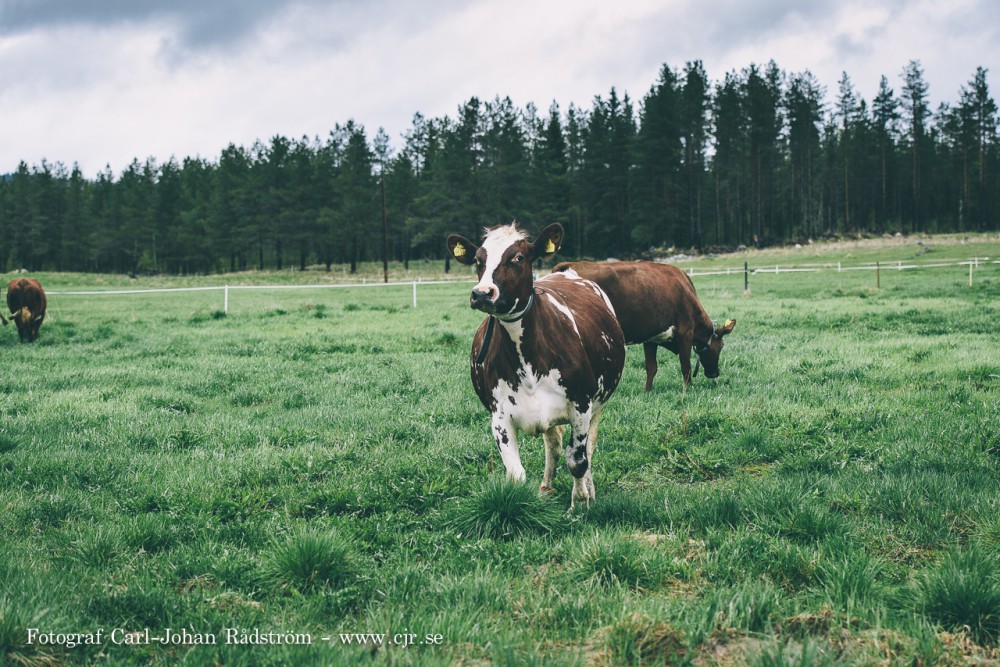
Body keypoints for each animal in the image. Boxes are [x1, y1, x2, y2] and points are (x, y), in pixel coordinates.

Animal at [448, 222, 624, 508]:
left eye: (518, 258)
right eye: (478, 260)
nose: (482, 293)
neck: (527, 359)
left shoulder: (582, 405)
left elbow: (578, 460)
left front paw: (579, 504)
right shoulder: (499, 416)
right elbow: (516, 473)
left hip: (598, 403)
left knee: (588, 448)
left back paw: (589, 489)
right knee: (553, 445)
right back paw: (547, 488)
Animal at [552, 260, 732, 392]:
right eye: (721, 346)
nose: (715, 373)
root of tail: (571, 265)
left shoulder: (651, 338)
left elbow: (651, 367)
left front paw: (648, 391)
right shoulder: (686, 332)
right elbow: (685, 366)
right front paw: (687, 390)